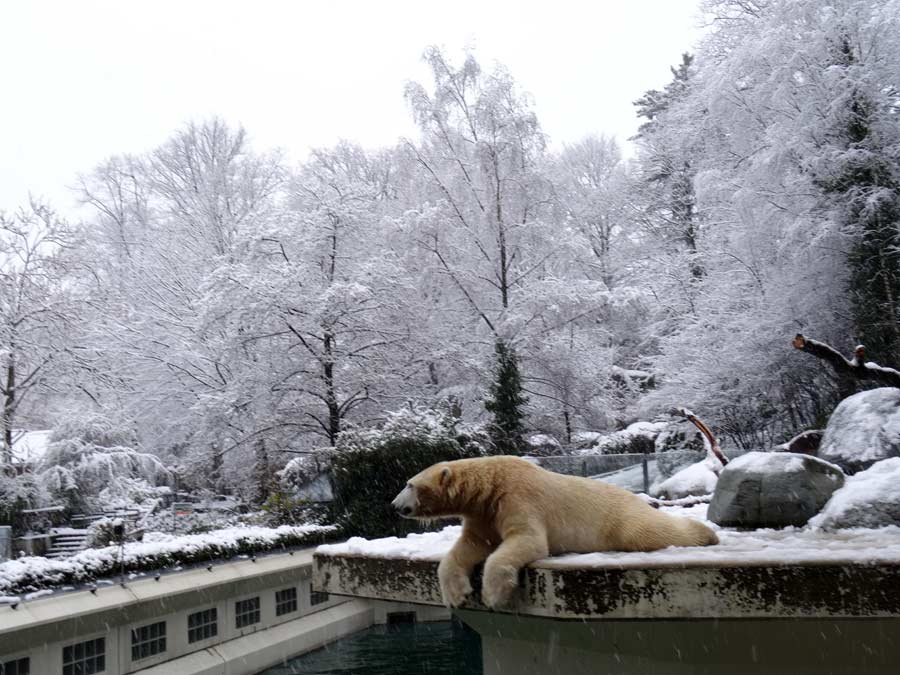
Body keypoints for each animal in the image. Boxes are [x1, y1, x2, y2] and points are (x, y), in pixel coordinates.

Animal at [390, 456, 720, 608]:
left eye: (409, 484)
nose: (394, 505)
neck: (490, 484)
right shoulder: (483, 513)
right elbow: (471, 545)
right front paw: (456, 595)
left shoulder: (518, 497)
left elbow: (527, 541)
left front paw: (492, 595)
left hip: (619, 517)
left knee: (649, 531)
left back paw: (706, 533)